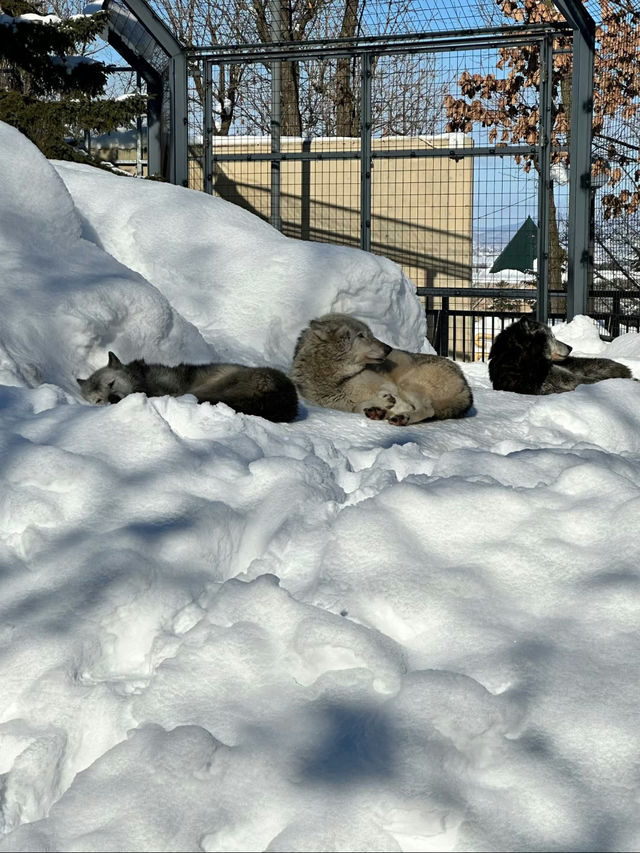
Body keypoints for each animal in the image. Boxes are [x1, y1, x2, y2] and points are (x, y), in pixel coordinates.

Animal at [292, 312, 472, 424]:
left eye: (371, 334)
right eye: (361, 335)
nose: (388, 348)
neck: (340, 380)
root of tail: (466, 385)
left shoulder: (391, 387)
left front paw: (386, 404)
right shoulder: (341, 405)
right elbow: (357, 407)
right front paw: (379, 407)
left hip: (406, 384)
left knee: (428, 410)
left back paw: (402, 418)